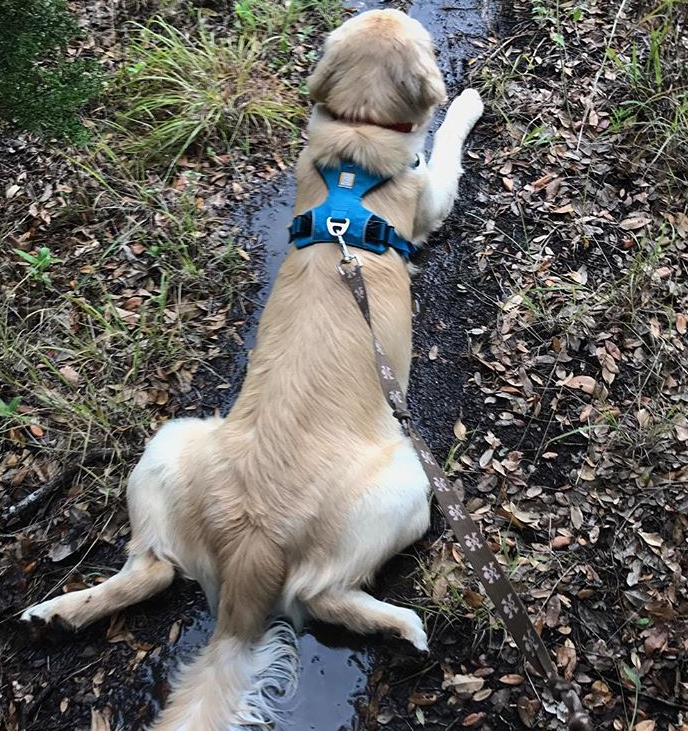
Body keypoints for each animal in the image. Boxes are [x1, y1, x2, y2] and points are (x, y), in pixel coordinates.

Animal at [21, 7, 484, 731]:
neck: (356, 136)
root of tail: (250, 556)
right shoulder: (429, 195)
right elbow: (445, 148)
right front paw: (466, 104)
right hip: (411, 482)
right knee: (319, 594)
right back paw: (402, 624)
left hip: (169, 441)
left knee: (154, 568)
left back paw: (56, 615)